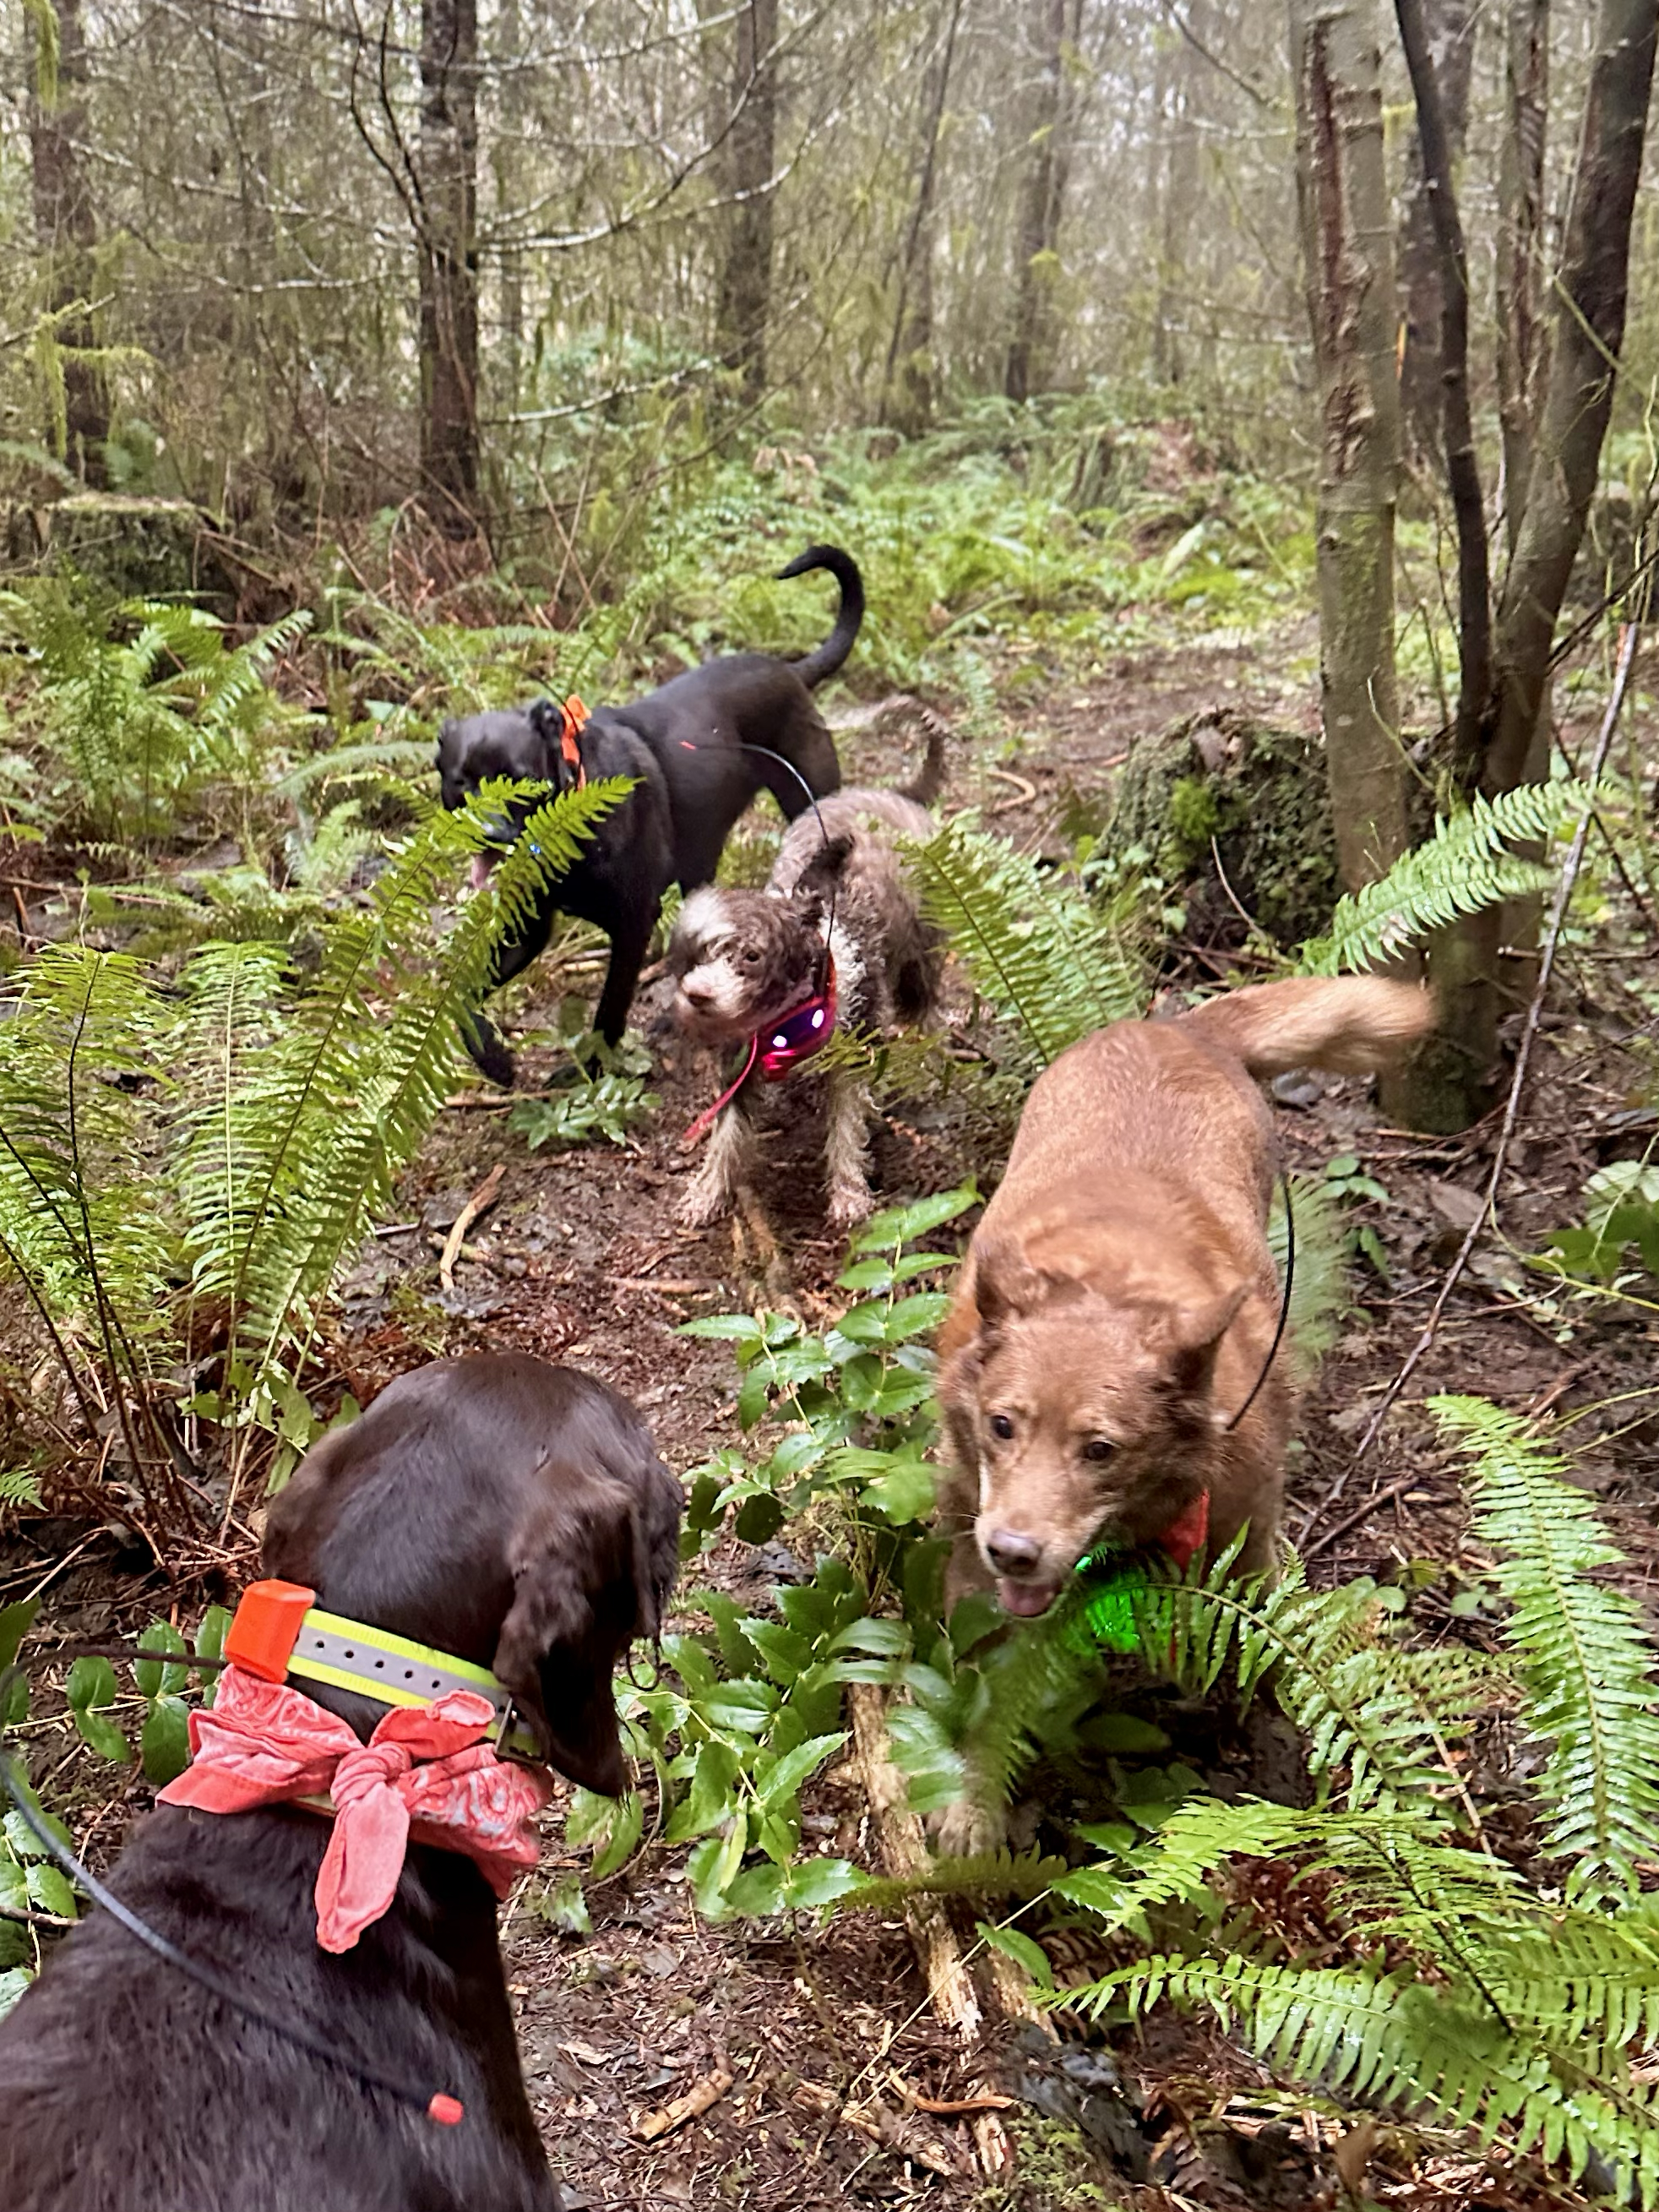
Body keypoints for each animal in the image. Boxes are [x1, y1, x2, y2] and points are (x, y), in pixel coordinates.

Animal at [442, 544, 858, 1079]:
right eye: (461, 783)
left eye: (520, 780)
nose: (489, 834)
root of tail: (790, 671)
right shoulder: (529, 929)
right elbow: (462, 991)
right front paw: (491, 1055)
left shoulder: (632, 923)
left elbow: (609, 1009)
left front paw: (588, 1070)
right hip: (701, 856)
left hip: (810, 806)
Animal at [667, 729, 946, 1239]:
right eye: (703, 951)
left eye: (752, 956)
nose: (697, 995)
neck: (788, 1022)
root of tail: (888, 792)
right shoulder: (741, 1067)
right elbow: (727, 1133)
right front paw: (707, 1193)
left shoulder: (856, 1049)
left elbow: (847, 1126)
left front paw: (849, 1195)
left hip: (920, 960)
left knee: (930, 1011)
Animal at [942, 978, 1433, 1619]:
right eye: (1000, 1426)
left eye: (1100, 1450)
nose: (1012, 1552)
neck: (1110, 1286)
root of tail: (1179, 1027)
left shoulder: (1248, 1542)